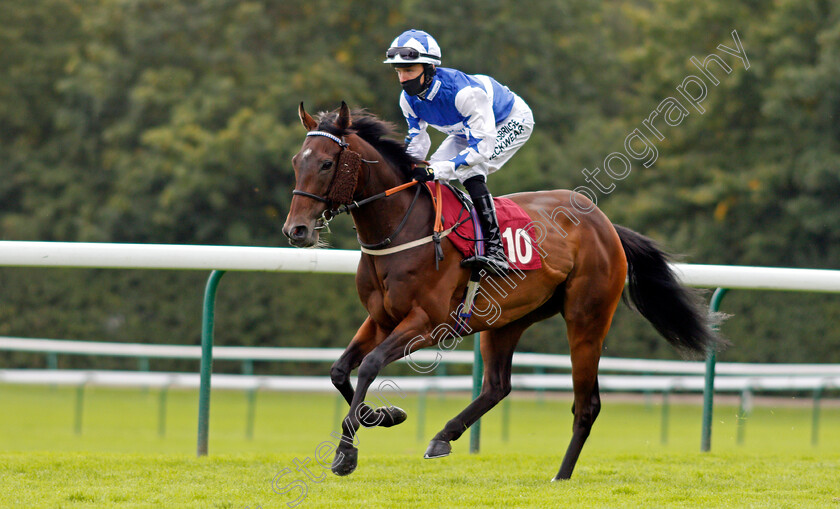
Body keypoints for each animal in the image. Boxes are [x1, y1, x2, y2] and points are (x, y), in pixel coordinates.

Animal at [282, 103, 720, 480]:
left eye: (326, 163)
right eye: (296, 162)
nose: (296, 230)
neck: (400, 232)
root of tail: (607, 225)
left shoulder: (427, 322)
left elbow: (371, 364)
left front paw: (346, 453)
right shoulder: (380, 319)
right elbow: (340, 370)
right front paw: (386, 416)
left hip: (587, 318)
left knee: (587, 405)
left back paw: (560, 475)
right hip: (506, 319)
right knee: (497, 386)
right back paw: (443, 437)